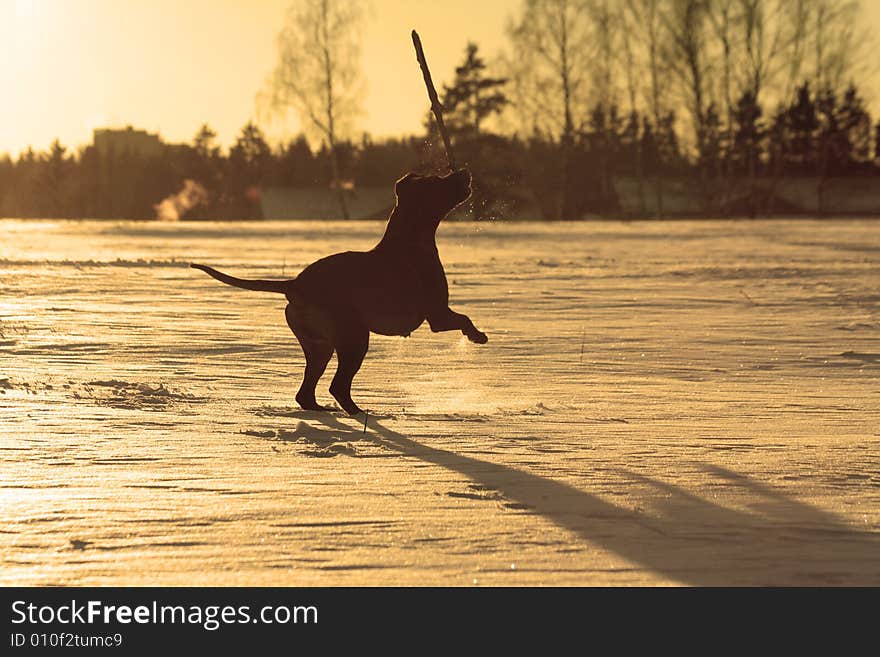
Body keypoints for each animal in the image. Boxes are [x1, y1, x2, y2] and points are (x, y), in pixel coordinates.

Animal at [192, 169, 488, 416]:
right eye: (438, 180)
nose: (464, 171)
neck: (410, 238)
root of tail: (295, 284)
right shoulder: (437, 315)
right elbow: (464, 318)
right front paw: (476, 336)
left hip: (319, 347)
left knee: (306, 393)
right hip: (355, 339)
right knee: (338, 386)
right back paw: (361, 414)